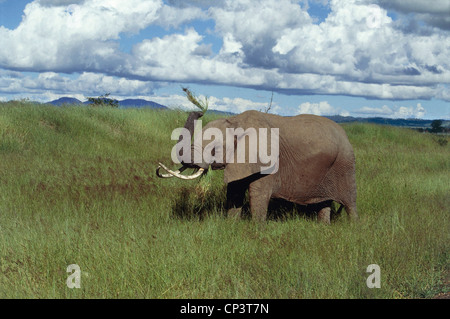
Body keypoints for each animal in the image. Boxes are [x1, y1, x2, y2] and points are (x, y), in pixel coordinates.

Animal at [158, 109, 358, 224]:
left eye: (215, 148)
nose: (199, 111)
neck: (236, 122)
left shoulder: (268, 162)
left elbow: (257, 193)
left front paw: (256, 230)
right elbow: (234, 191)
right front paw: (231, 225)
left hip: (345, 164)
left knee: (350, 202)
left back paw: (352, 228)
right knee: (324, 202)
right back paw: (324, 227)